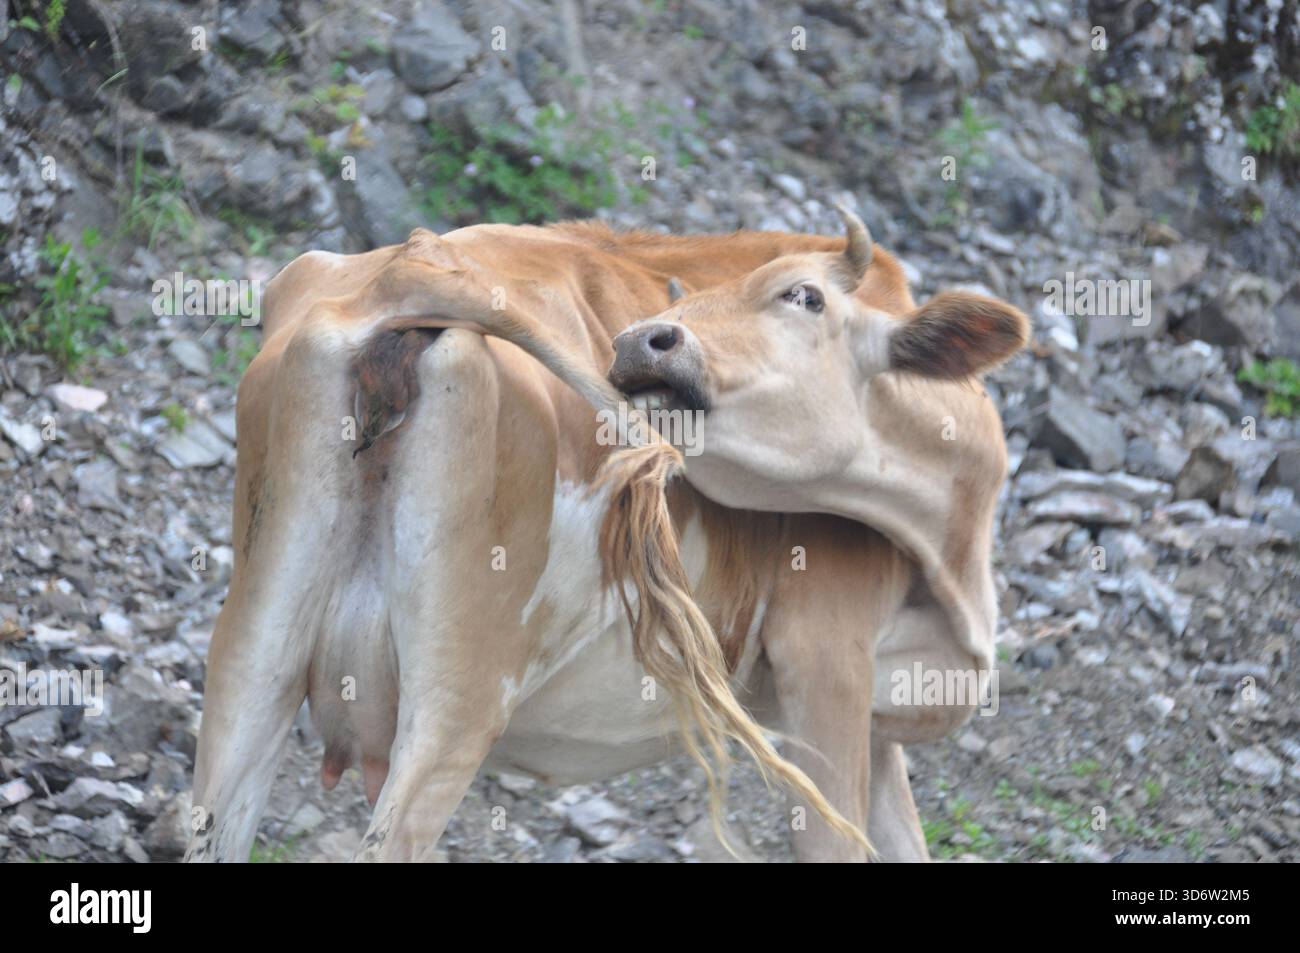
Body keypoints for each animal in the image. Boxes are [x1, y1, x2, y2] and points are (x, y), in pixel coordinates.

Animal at [185, 209, 1027, 863]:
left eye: (805, 296)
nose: (641, 340)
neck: (950, 557)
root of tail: (406, 266)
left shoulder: (881, 726)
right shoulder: (827, 664)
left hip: (257, 647)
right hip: (461, 691)